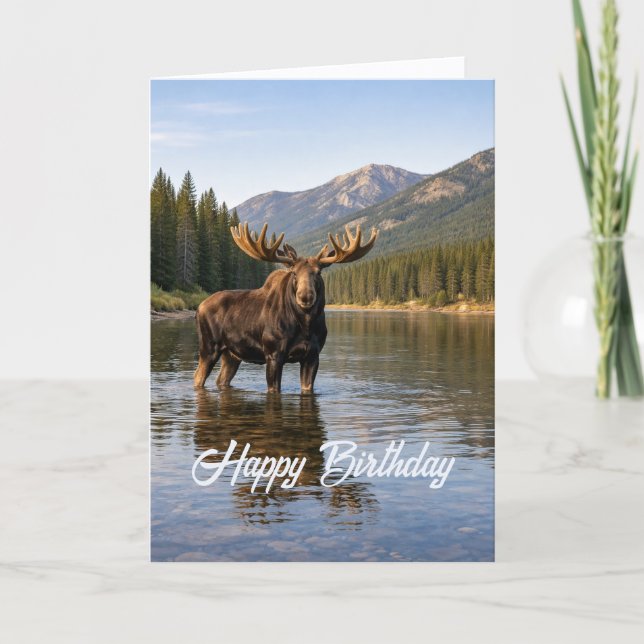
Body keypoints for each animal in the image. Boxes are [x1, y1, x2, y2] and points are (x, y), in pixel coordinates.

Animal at [194, 222, 378, 393]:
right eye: (294, 273)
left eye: (318, 272)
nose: (305, 296)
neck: (305, 325)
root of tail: (199, 307)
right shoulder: (274, 354)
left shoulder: (313, 356)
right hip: (209, 348)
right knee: (197, 377)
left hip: (232, 354)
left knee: (220, 380)